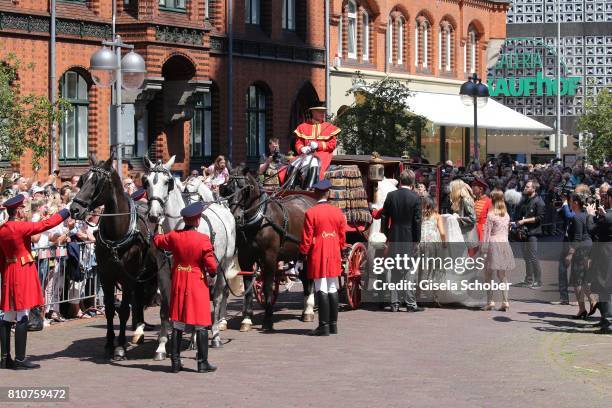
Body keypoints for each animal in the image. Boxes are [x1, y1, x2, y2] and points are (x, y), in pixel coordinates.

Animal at [145, 156, 238, 348]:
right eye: (146, 182)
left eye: (167, 182)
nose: (154, 215)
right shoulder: (164, 273)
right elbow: (166, 309)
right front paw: (162, 345)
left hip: (222, 266)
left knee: (217, 297)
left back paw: (215, 334)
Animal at [227, 166, 318, 332]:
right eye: (227, 189)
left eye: (246, 188)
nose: (236, 217)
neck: (259, 220)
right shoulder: (245, 258)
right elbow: (248, 289)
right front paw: (246, 319)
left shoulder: (269, 257)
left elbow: (267, 287)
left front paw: (268, 320)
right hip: (298, 254)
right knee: (304, 277)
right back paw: (306, 310)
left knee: (310, 278)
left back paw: (308, 309)